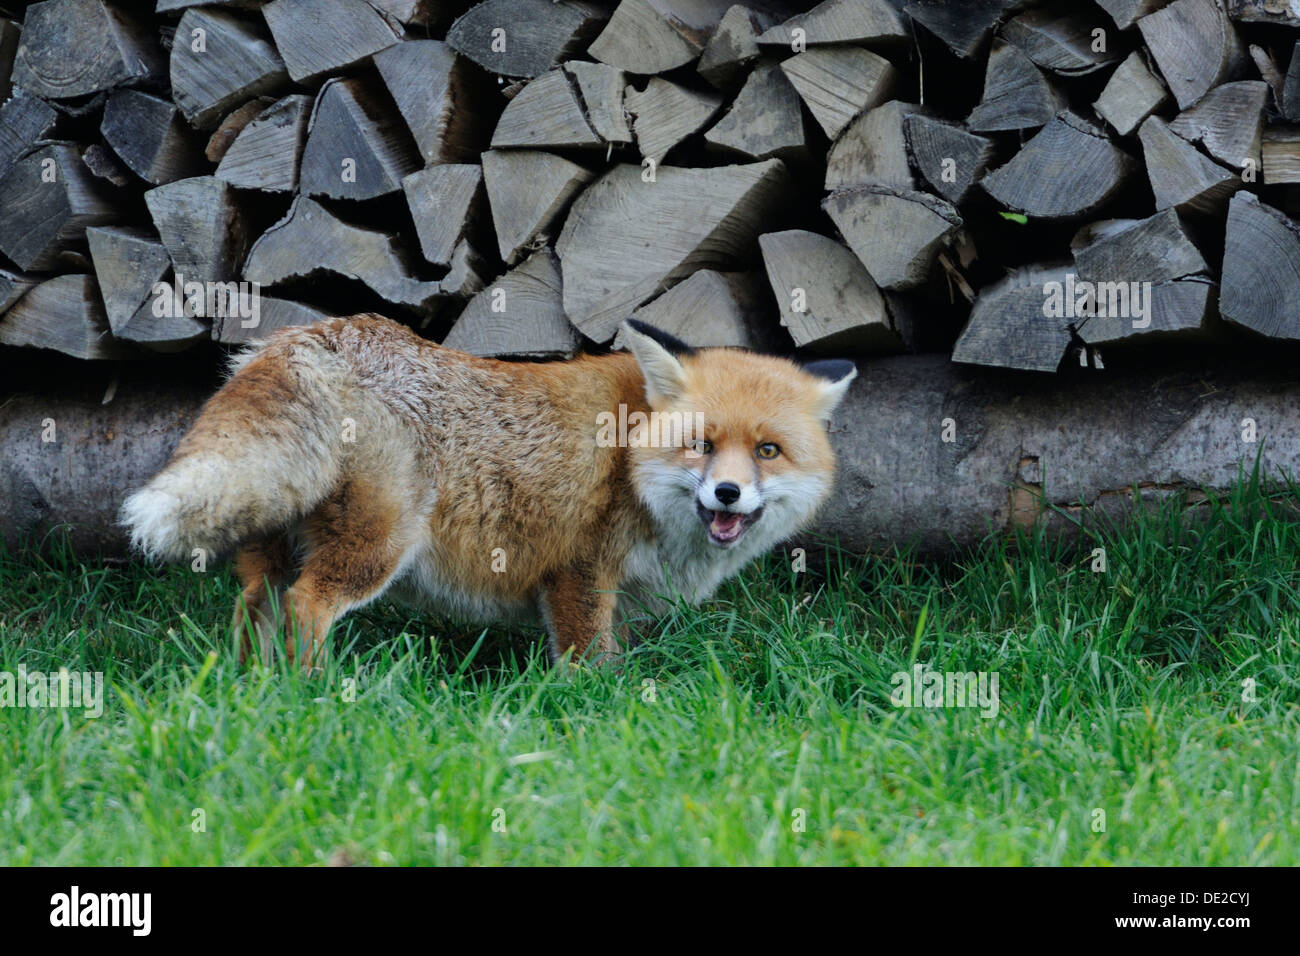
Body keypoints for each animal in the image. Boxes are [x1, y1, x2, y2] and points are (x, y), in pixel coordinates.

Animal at [120, 314, 857, 669]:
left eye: (768, 451)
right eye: (701, 445)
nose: (728, 493)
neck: (629, 459)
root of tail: (313, 335)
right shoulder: (579, 572)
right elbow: (591, 665)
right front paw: (596, 713)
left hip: (274, 551)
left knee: (254, 606)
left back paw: (254, 692)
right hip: (375, 549)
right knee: (308, 606)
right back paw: (315, 694)